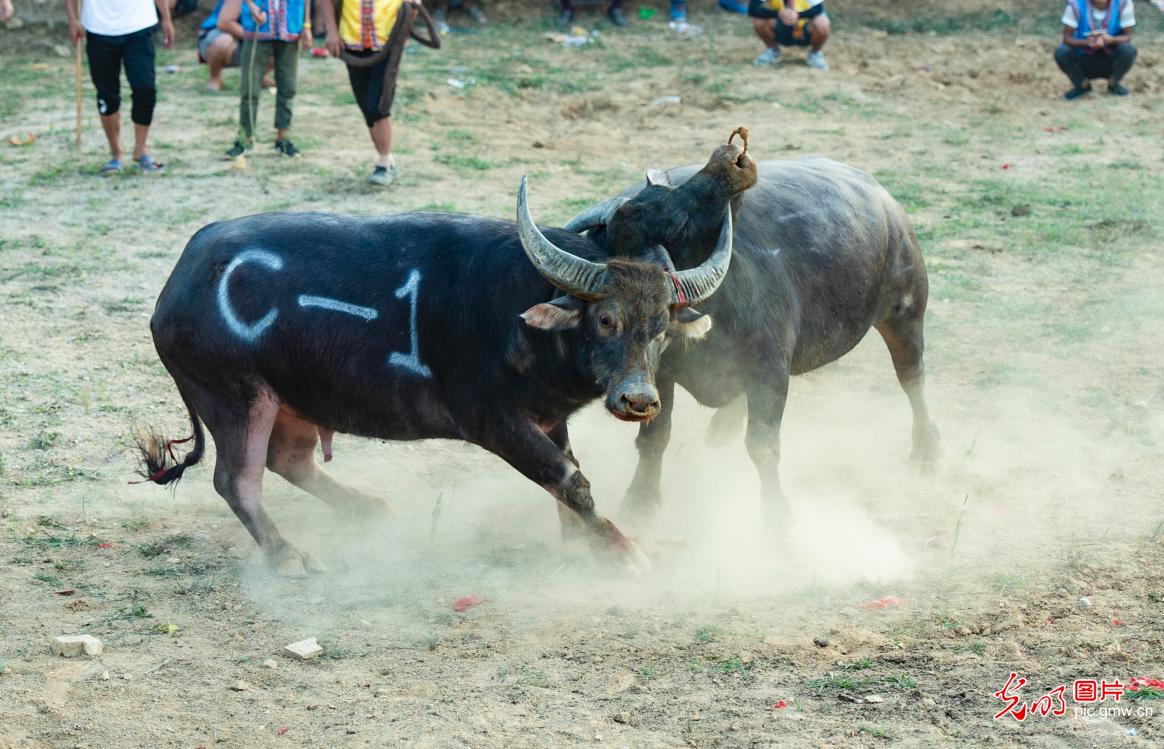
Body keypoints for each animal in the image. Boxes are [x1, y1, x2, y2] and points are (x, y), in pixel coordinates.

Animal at [138, 174, 735, 575]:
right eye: (606, 319)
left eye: (661, 328)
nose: (640, 400)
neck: (519, 313)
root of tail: (175, 287)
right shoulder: (493, 422)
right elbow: (570, 480)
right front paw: (623, 550)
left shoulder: (547, 416)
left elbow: (566, 478)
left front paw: (577, 546)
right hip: (235, 397)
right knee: (237, 480)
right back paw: (289, 556)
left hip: (291, 400)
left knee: (287, 460)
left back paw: (368, 509)